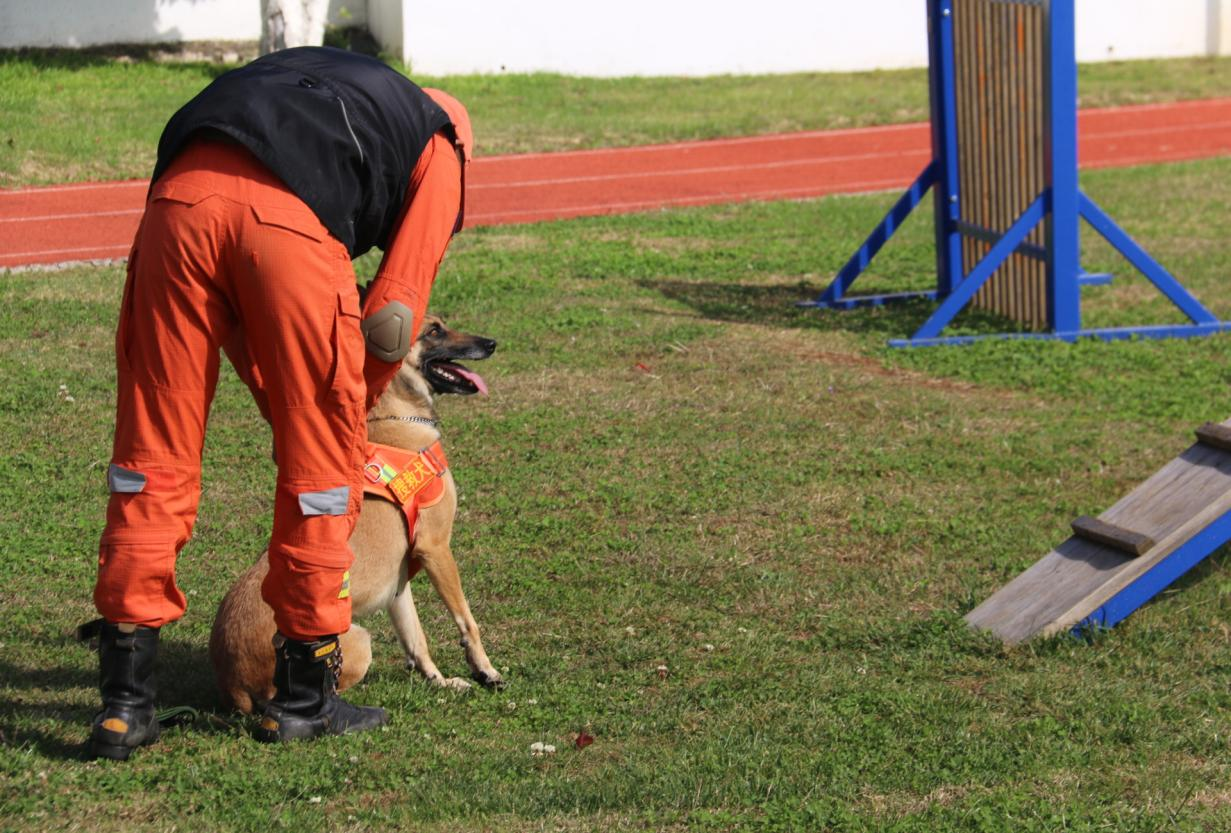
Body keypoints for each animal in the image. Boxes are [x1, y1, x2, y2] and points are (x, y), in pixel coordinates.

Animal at [209, 314, 504, 713]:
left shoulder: (399, 580)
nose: (491, 343)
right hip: (357, 641)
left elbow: (417, 639)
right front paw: (485, 669)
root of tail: (233, 681)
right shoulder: (436, 549)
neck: (396, 413)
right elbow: (467, 620)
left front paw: (440, 682)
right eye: (434, 330)